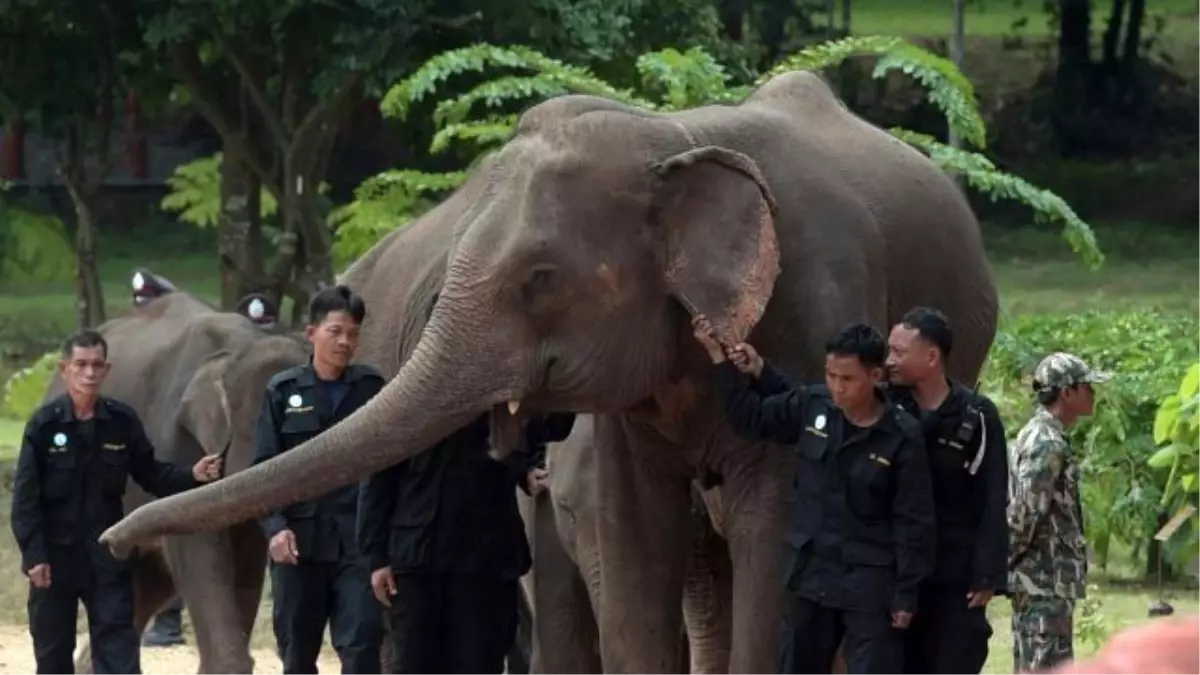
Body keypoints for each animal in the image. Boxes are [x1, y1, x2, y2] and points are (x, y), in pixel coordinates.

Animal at [96, 69, 993, 672]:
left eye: (540, 279)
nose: (111, 535)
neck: (669, 140)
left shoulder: (814, 306)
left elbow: (778, 526)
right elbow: (636, 533)